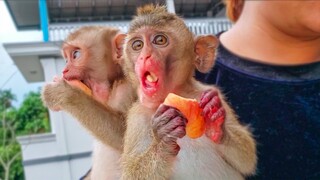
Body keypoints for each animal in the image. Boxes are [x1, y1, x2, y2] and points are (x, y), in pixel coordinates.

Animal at [41, 26, 136, 180]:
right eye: (66, 59)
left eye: (76, 54)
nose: (64, 71)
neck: (114, 82)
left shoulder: (127, 89)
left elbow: (124, 136)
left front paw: (63, 92)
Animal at [120, 4, 258, 180]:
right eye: (137, 45)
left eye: (159, 40)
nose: (144, 57)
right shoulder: (136, 117)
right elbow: (130, 174)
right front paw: (163, 139)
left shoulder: (211, 92)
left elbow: (247, 159)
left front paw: (216, 123)